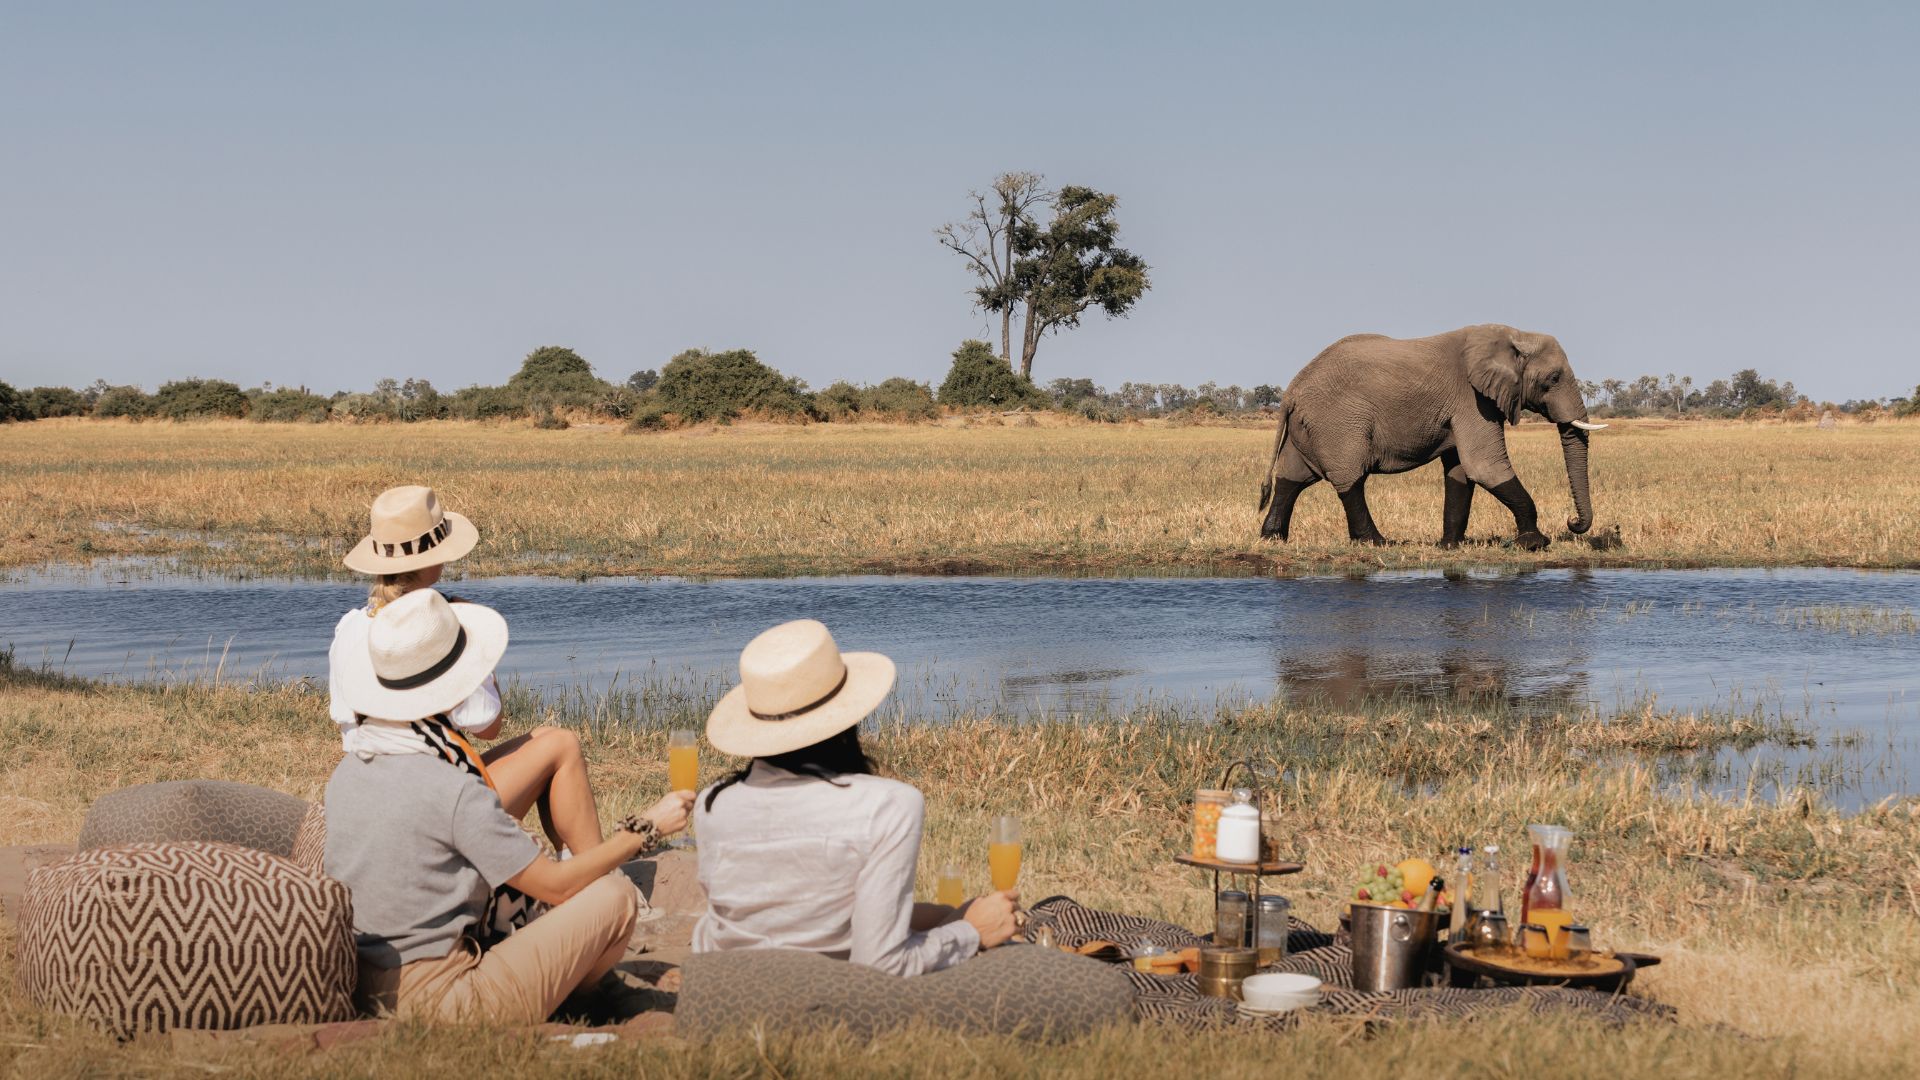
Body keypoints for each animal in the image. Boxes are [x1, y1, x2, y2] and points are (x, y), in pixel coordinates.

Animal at [1256, 324, 1604, 550]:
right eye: (1554, 378)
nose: (1572, 522)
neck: (1513, 336)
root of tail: (1291, 391)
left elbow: (1461, 472)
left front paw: (1450, 547)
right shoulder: (1471, 400)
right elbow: (1485, 466)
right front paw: (1535, 544)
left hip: (1309, 426)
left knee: (1292, 477)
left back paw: (1272, 539)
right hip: (1338, 422)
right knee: (1349, 479)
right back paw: (1377, 543)